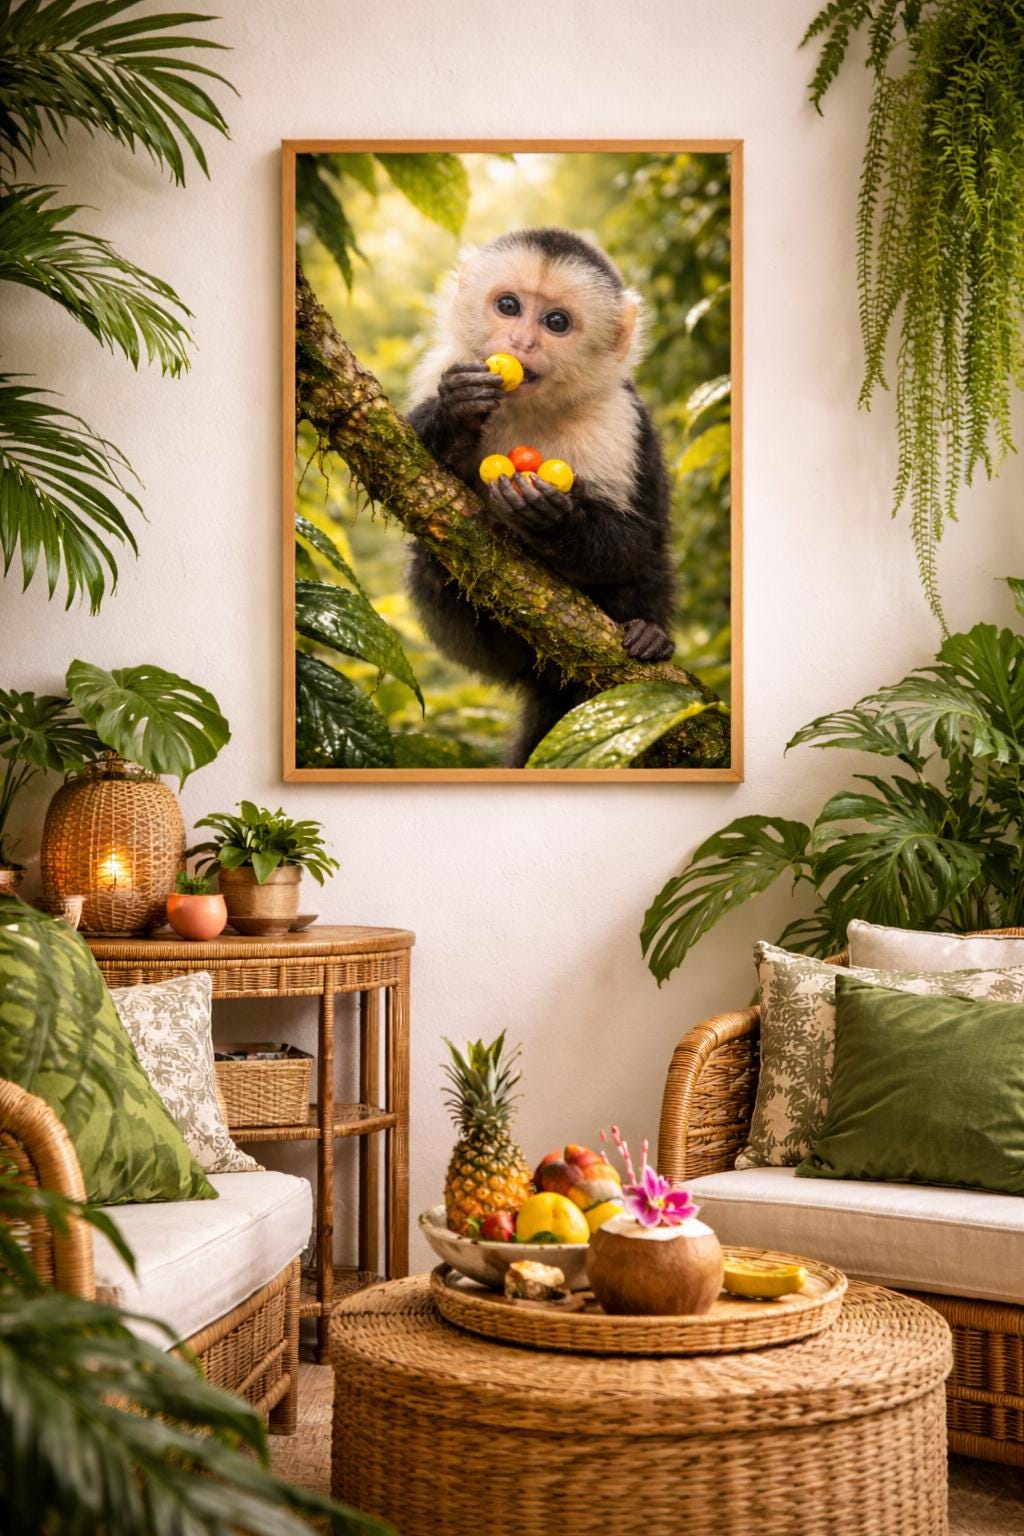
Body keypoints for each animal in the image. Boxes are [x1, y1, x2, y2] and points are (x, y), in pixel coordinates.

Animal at [405, 226, 675, 766]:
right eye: (508, 306)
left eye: (556, 322)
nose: (522, 341)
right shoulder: (442, 364)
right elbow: (402, 455)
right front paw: (456, 410)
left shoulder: (615, 418)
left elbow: (634, 541)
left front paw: (552, 520)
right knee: (431, 556)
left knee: (648, 566)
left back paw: (649, 635)